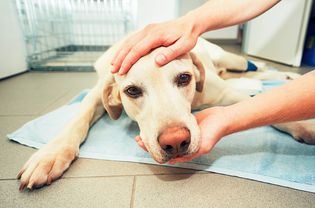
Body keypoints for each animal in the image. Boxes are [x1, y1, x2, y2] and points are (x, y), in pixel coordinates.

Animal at [17, 37, 315, 190]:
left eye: (184, 78)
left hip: (232, 59)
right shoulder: (97, 92)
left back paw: (282, 73)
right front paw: (50, 155)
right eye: (132, 91)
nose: (175, 141)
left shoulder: (225, 95)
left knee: (250, 68)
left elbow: (272, 107)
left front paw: (304, 124)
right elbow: (77, 118)